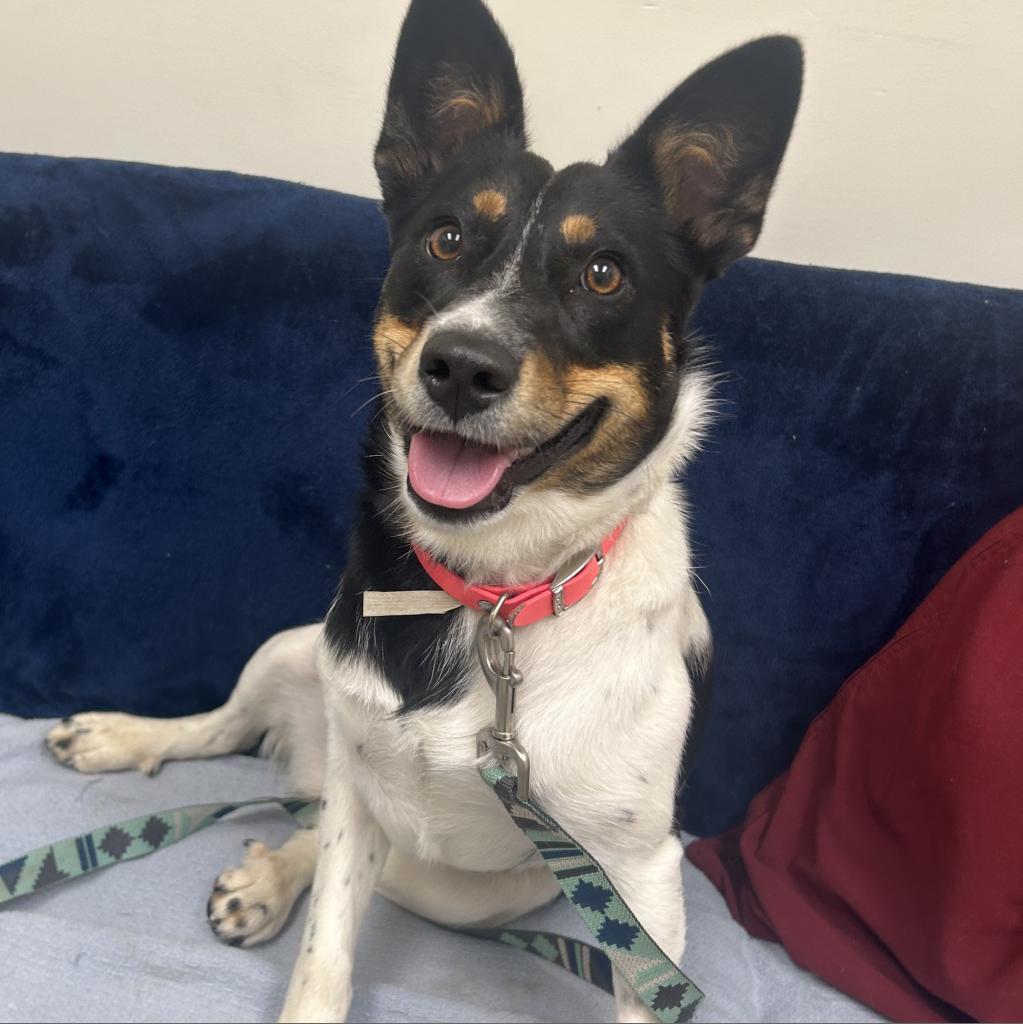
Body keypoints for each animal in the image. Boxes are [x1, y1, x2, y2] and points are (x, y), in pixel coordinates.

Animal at [46, 4, 798, 1019]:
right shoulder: (360, 778)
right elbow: (325, 951)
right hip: (296, 654)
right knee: (228, 734)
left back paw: (267, 873)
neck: (491, 597)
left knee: (321, 827)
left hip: (466, 889)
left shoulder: (642, 884)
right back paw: (126, 743)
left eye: (604, 272)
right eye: (444, 239)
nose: (462, 366)